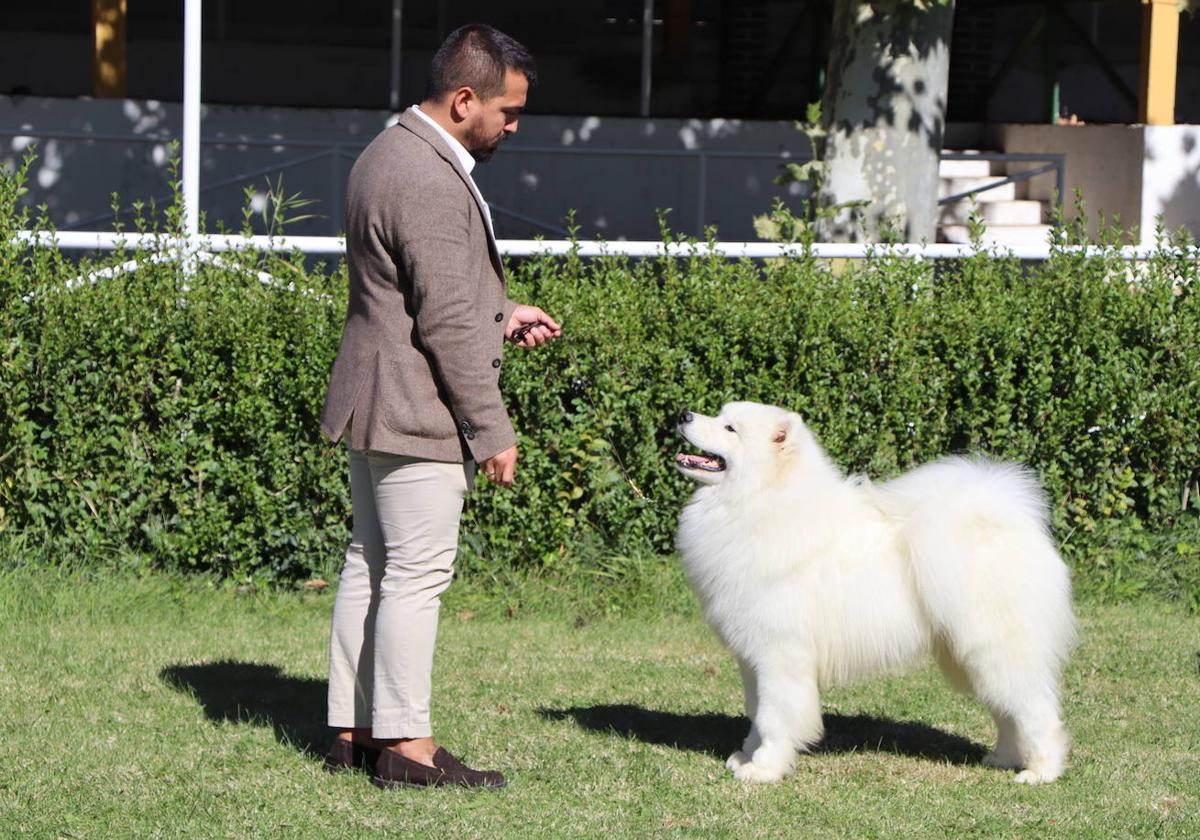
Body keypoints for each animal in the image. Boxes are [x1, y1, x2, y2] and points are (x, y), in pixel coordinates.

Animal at [676, 403, 1080, 782]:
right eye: (720, 415)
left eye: (730, 428)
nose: (683, 415)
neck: (761, 501)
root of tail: (1009, 524)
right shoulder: (752, 659)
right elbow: (757, 715)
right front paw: (746, 756)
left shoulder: (780, 655)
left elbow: (775, 718)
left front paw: (764, 769)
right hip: (971, 655)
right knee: (1008, 712)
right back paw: (1004, 758)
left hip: (998, 649)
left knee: (1037, 711)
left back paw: (1041, 771)